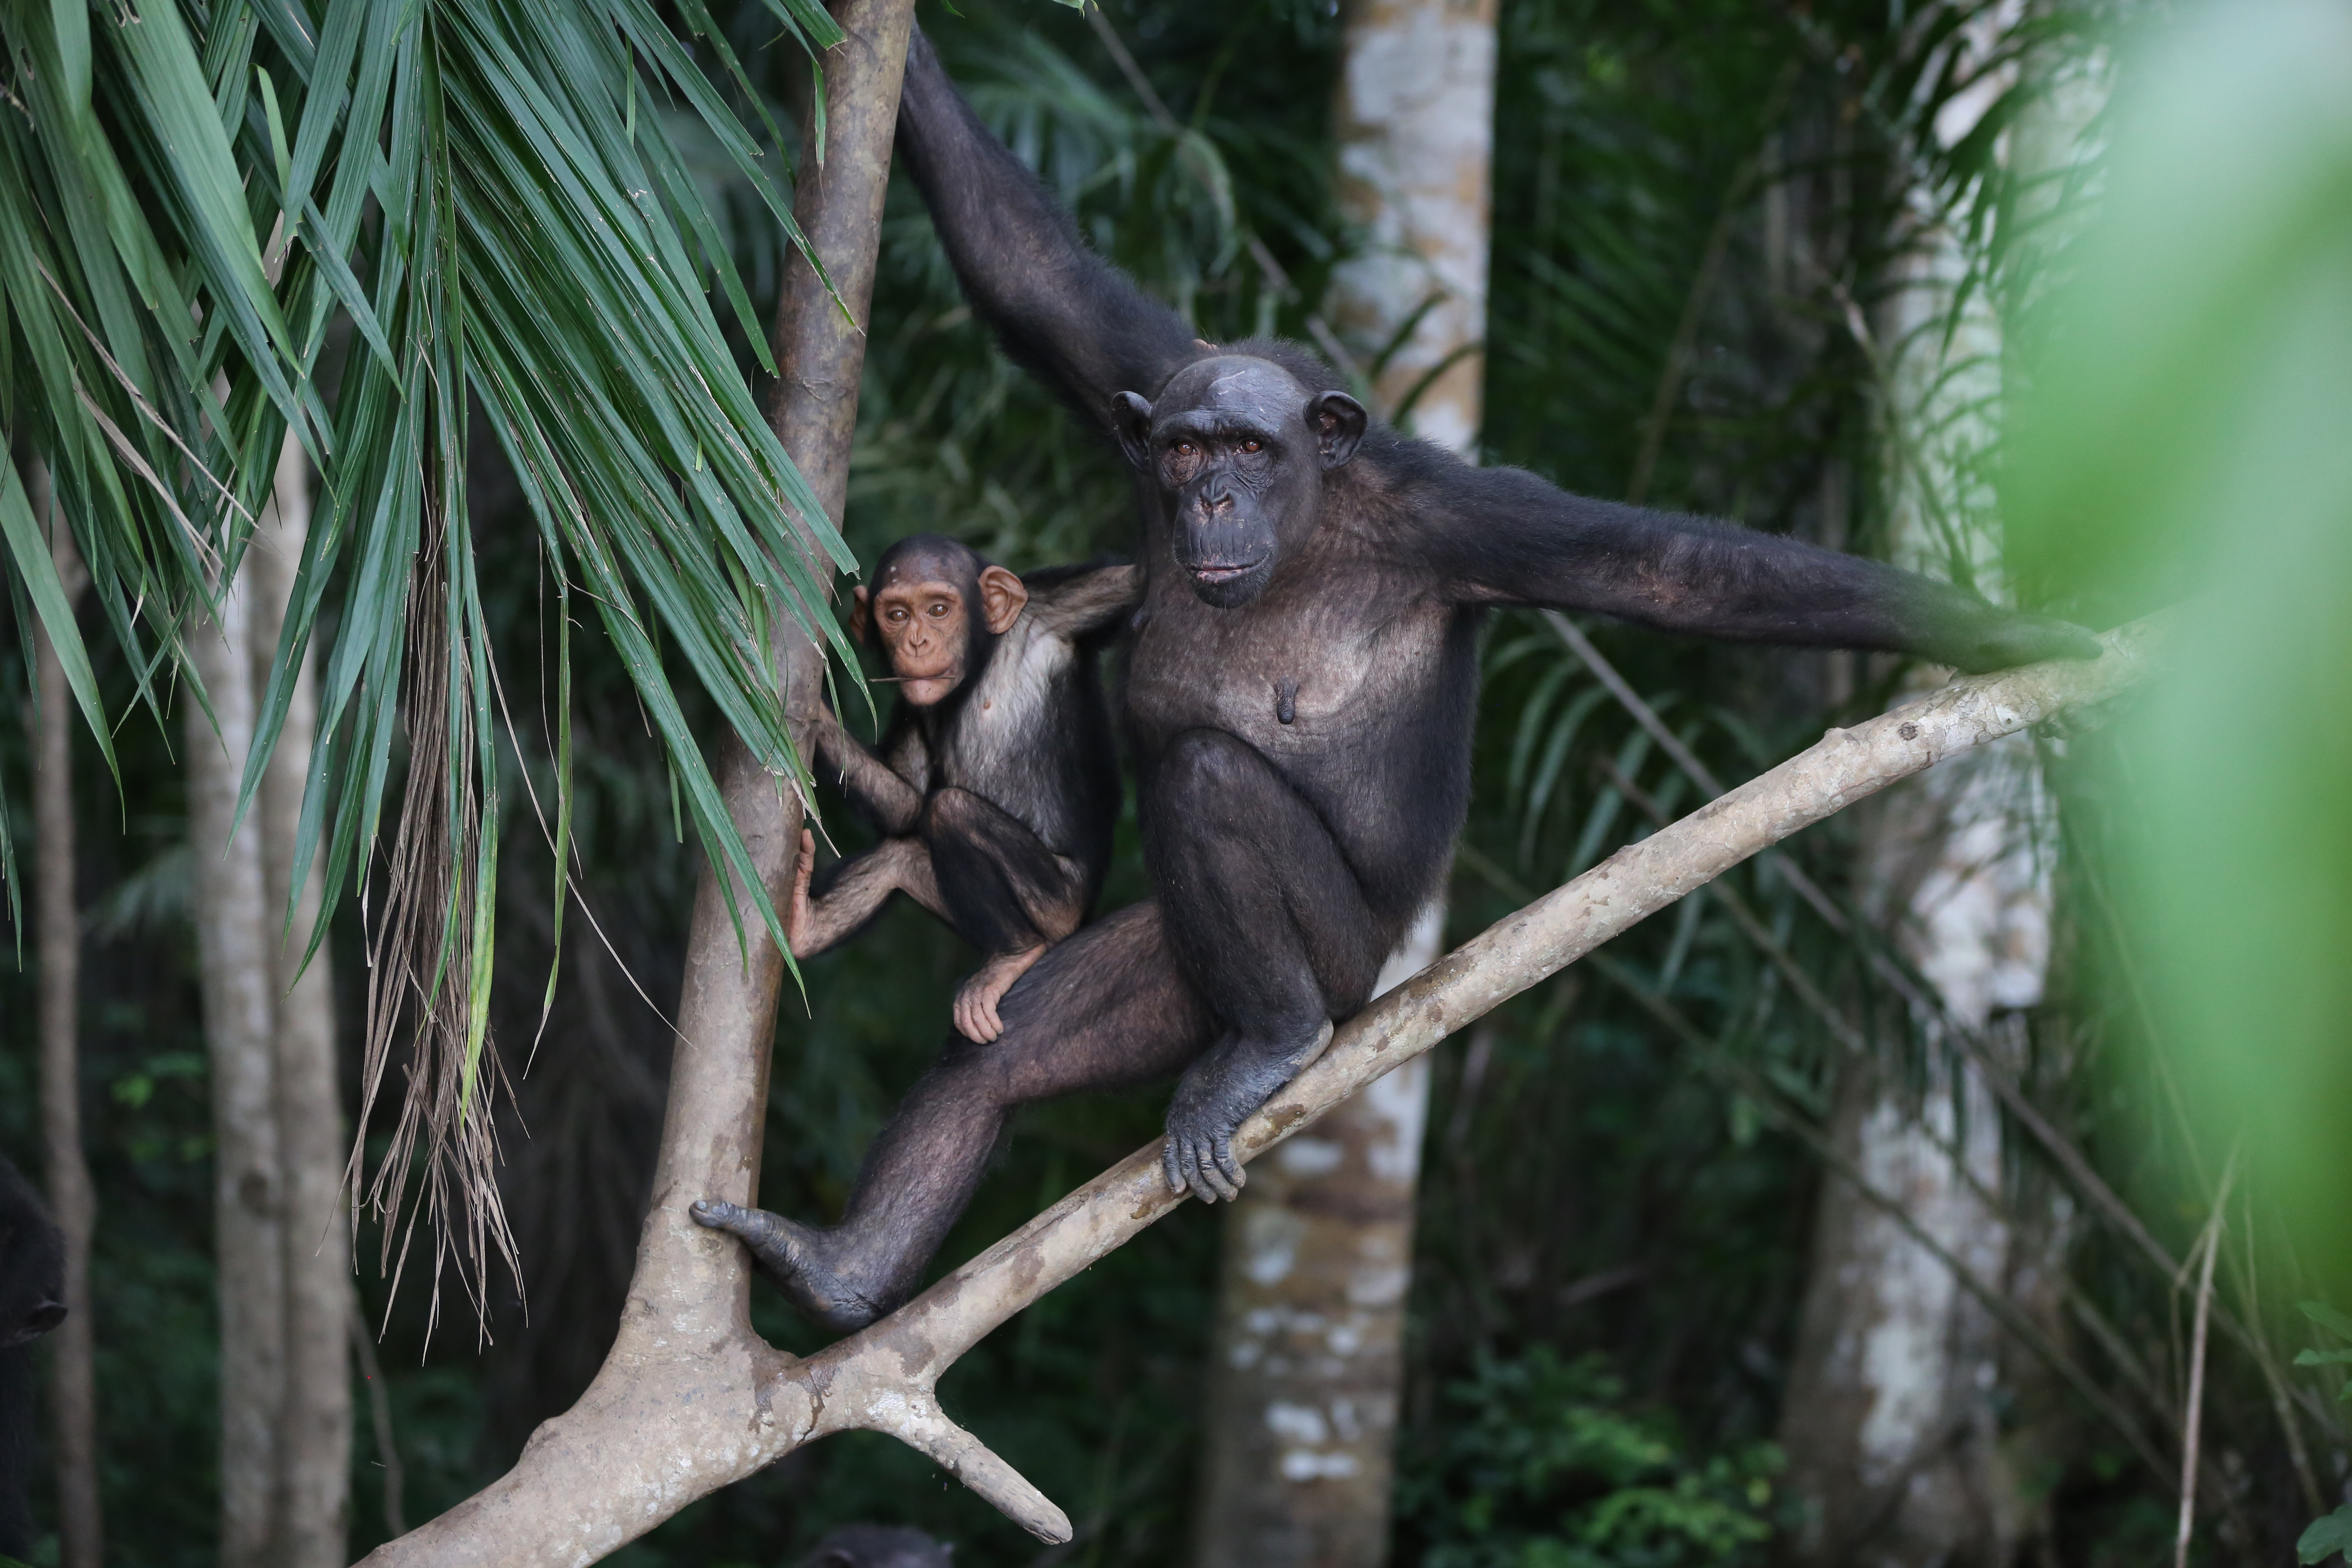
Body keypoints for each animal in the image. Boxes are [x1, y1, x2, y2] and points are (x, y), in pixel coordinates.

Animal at [757, 536, 1134, 1044]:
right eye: (896, 615)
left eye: (938, 609)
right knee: (900, 855)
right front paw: (805, 702)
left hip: (1059, 908)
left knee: (951, 811)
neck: (982, 663)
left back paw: (1013, 958)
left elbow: (1132, 583)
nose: (918, 642)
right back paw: (805, 925)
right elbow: (906, 805)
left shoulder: (1064, 610)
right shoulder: (910, 705)